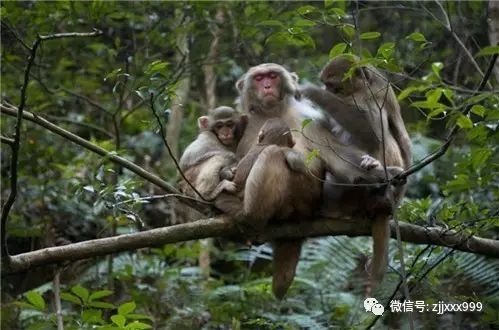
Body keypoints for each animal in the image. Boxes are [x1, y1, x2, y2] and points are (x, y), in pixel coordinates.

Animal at [217, 62, 396, 300]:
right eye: (259, 78)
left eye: (272, 76)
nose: (266, 86)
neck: (274, 111)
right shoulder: (243, 129)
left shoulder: (310, 120)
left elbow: (337, 159)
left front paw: (380, 173)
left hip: (305, 200)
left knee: (274, 155)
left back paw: (252, 216)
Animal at [300, 56, 414, 284]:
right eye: (326, 84)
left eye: (333, 86)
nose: (326, 90)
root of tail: (386, 208)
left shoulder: (369, 96)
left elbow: (372, 133)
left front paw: (312, 93)